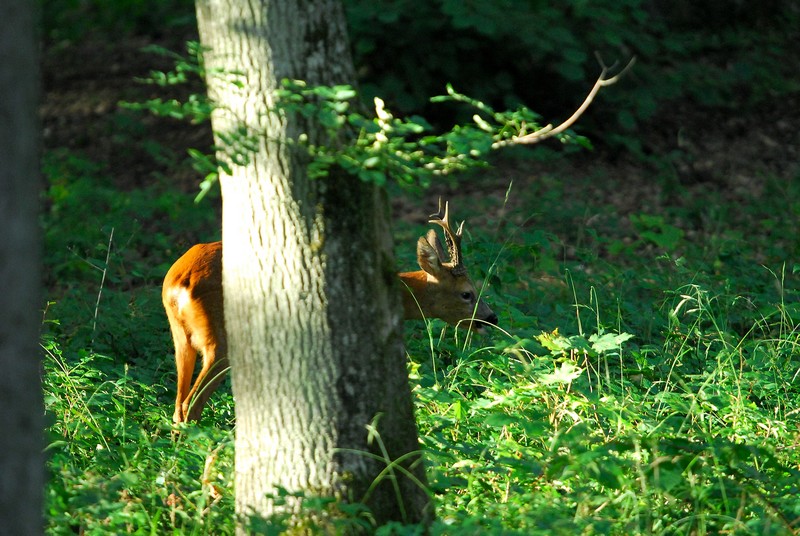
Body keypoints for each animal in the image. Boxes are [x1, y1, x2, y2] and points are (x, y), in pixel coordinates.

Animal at [165, 200, 496, 422]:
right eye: (467, 293)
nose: (491, 318)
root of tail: (179, 282)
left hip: (181, 338)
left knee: (178, 404)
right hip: (219, 339)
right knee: (190, 404)